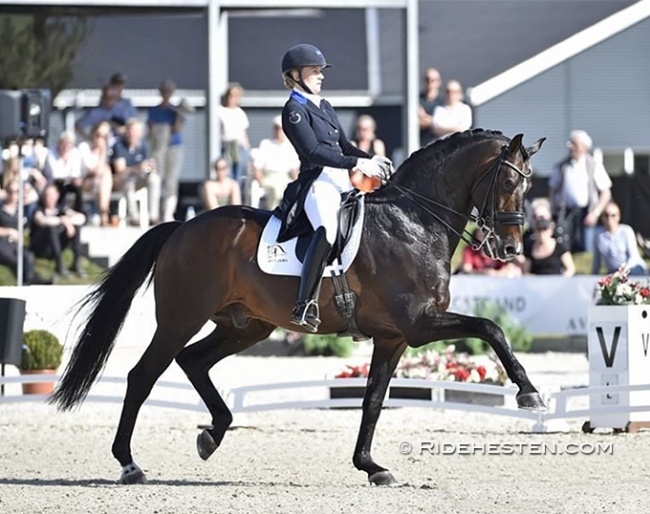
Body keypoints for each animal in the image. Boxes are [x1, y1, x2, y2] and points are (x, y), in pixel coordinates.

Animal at [53, 127, 544, 484]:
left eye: (529, 184)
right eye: (507, 181)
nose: (511, 248)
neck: (413, 222)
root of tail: (180, 226)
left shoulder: (393, 338)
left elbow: (373, 401)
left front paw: (371, 467)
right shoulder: (419, 325)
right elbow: (490, 327)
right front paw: (528, 392)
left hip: (246, 325)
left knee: (193, 361)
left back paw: (212, 434)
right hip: (180, 319)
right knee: (143, 376)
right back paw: (129, 464)